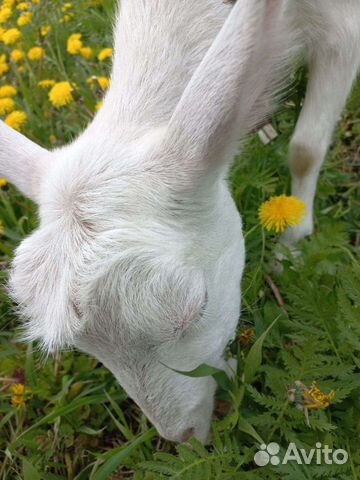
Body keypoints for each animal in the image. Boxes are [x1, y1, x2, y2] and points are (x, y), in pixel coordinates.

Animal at [0, 0, 360, 442]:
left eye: (197, 308)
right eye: (88, 348)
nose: (184, 436)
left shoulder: (344, 30)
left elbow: (305, 149)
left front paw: (291, 245)